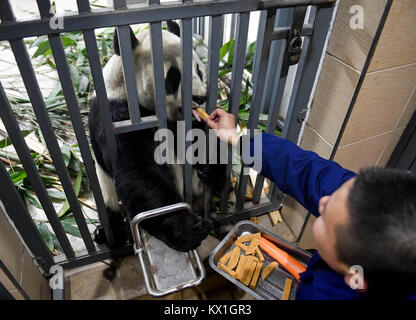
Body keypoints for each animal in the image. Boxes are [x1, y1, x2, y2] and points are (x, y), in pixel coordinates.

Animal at [88, 20, 224, 252]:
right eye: (173, 77)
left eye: (198, 69)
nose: (200, 97)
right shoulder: (116, 116)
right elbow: (138, 169)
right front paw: (188, 229)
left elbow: (200, 140)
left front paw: (210, 167)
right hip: (109, 195)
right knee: (111, 213)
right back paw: (105, 234)